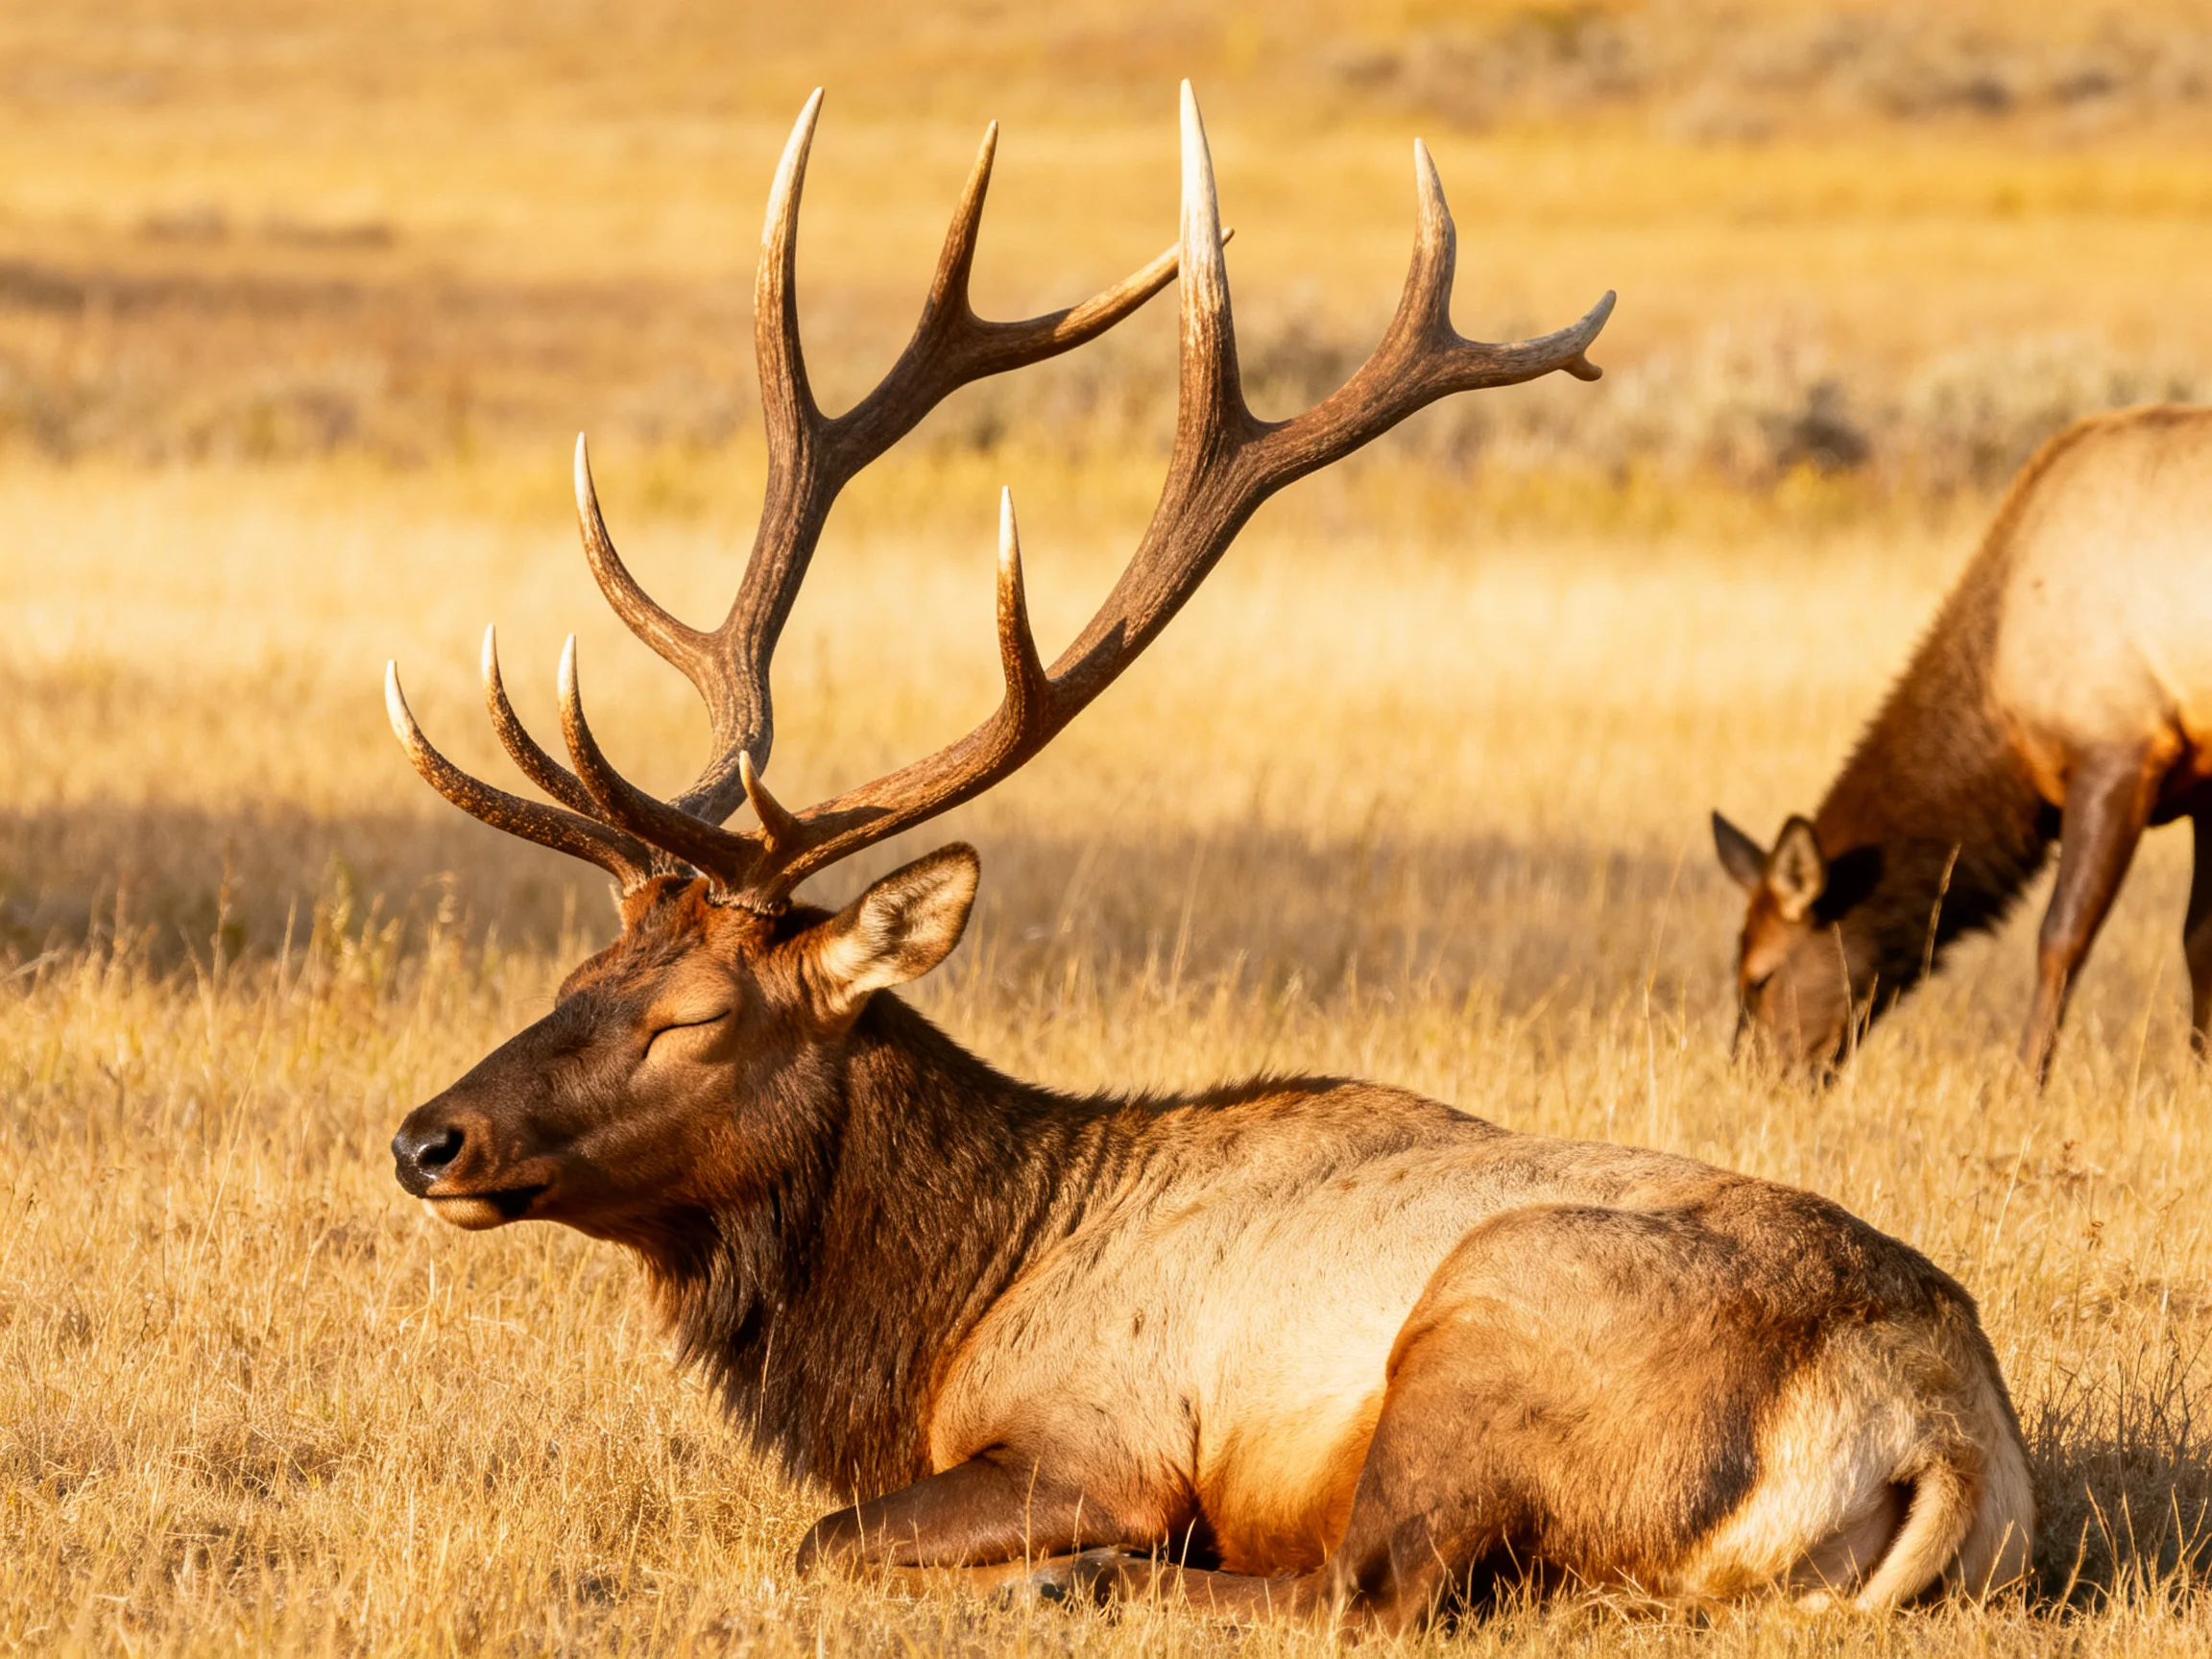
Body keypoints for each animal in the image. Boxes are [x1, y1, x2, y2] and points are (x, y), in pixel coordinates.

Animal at [386, 86, 2031, 1628]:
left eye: (693, 1019)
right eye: (580, 971)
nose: (426, 1139)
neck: (944, 1309)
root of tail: (1940, 1437)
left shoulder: (1095, 1443)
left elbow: (825, 1536)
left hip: (1490, 1323)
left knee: (1368, 1581)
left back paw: (1074, 1585)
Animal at [1714, 404, 2212, 1084]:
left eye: (1759, 977)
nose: (1751, 1077)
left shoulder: (2119, 749)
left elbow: (2061, 938)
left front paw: (2021, 1087)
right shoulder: (2202, 784)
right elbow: (2200, 943)